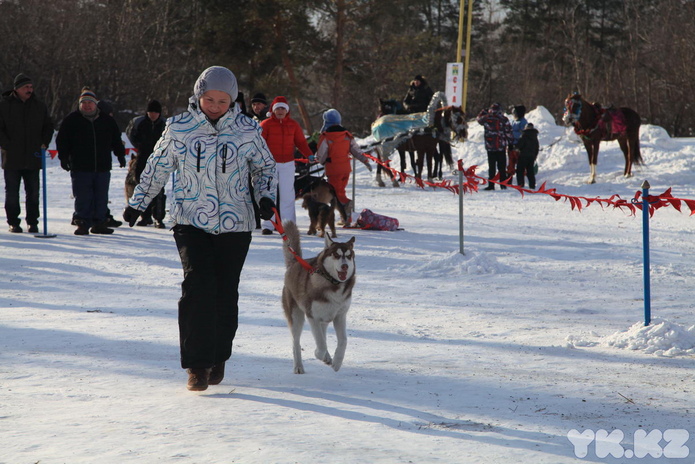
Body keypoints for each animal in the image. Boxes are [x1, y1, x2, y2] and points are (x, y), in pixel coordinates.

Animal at [282, 219, 356, 376]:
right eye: (336, 255)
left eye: (348, 256)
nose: (345, 266)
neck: (334, 285)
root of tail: (295, 262)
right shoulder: (312, 316)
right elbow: (320, 345)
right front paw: (319, 354)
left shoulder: (340, 315)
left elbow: (343, 341)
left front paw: (337, 362)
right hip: (296, 315)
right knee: (296, 342)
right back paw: (299, 366)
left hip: (326, 318)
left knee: (322, 333)